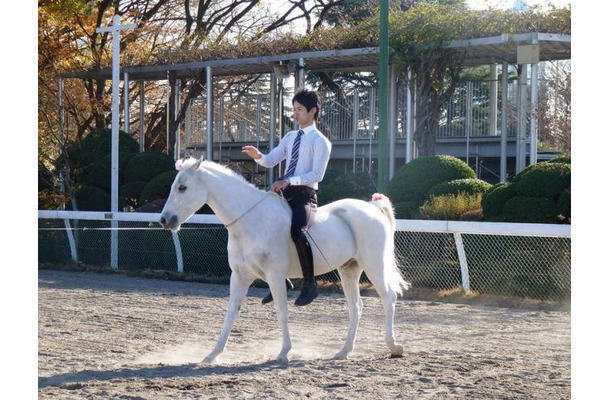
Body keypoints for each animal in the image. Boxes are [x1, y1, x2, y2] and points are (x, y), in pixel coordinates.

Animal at [159, 157, 410, 362]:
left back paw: (394, 346)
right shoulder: (240, 276)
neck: (252, 221)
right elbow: (231, 313)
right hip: (349, 269)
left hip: (374, 265)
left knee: (388, 297)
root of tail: (371, 207)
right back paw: (343, 351)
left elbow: (281, 312)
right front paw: (212, 354)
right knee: (355, 307)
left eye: (182, 187)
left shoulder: (275, 276)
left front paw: (283, 353)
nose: (164, 220)